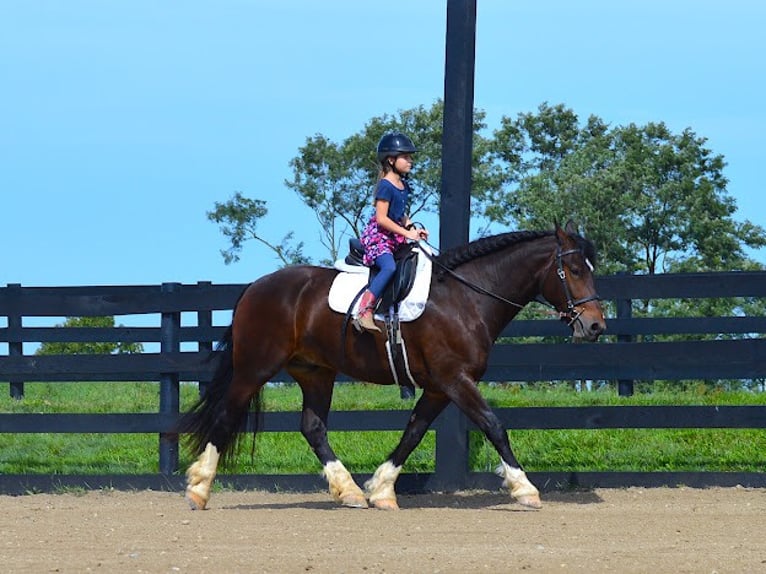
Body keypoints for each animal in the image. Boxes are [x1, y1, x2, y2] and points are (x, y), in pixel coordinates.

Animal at [178, 223, 608, 510]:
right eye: (573, 270)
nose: (595, 325)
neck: (465, 298)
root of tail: (255, 287)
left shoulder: (438, 387)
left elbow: (413, 433)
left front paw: (381, 489)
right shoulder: (455, 380)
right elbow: (494, 426)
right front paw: (524, 489)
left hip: (316, 373)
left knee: (313, 428)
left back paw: (349, 491)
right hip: (254, 369)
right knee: (225, 417)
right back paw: (199, 489)